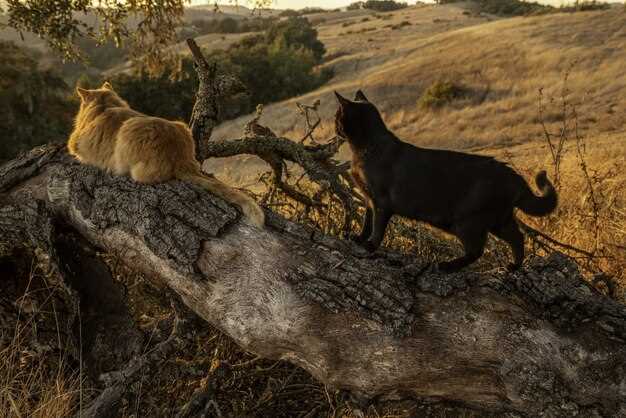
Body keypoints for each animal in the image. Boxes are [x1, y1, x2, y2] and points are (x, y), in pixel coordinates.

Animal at [336, 90, 556, 272]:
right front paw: (358, 238)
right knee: (517, 237)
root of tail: (512, 175)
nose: (335, 128)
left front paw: (370, 246)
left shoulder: (381, 202)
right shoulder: (368, 199)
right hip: (498, 219)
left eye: (337, 117)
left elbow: (377, 227)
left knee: (477, 250)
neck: (365, 147)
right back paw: (514, 266)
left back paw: (447, 266)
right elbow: (366, 222)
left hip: (467, 222)